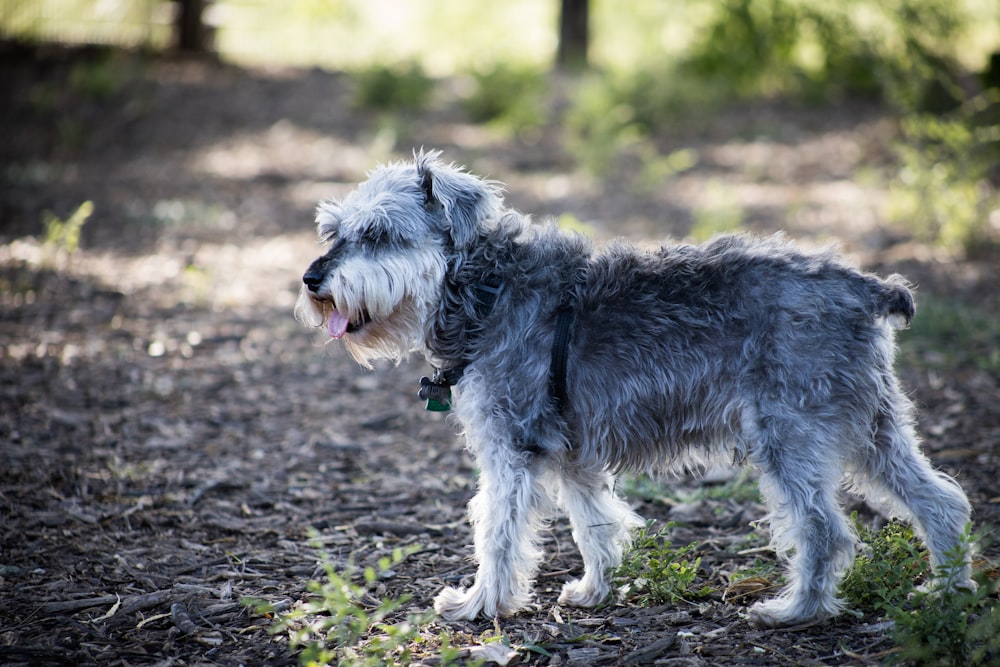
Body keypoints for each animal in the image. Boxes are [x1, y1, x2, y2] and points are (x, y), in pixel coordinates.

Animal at [292, 149, 972, 628]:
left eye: (380, 234)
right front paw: (594, 592)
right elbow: (593, 524)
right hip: (872, 427)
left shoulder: (511, 447)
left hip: (789, 437)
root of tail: (865, 287)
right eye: (333, 231)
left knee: (823, 529)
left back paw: (796, 612)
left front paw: (481, 605)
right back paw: (949, 591)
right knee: (941, 502)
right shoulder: (571, 452)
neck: (484, 287)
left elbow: (498, 529)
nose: (311, 279)